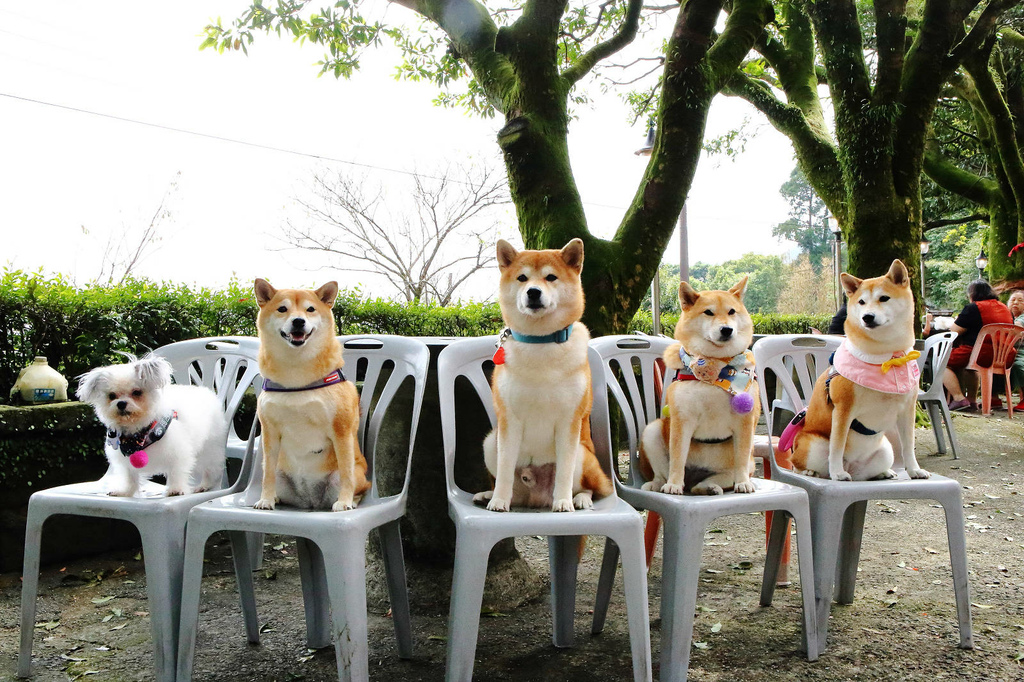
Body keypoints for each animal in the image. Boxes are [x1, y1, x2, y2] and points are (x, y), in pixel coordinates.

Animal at [77, 356, 228, 493]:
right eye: (112, 396)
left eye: (136, 392)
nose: (121, 403)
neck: (138, 435)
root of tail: (206, 391)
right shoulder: (126, 464)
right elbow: (130, 477)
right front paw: (125, 491)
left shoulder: (178, 453)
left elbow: (176, 472)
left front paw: (176, 489)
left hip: (209, 448)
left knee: (211, 468)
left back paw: (205, 485)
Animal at [252, 278, 372, 509]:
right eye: (282, 309)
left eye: (310, 309)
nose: (298, 321)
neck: (296, 377)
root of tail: (309, 502)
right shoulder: (269, 431)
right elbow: (267, 474)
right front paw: (266, 499)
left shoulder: (341, 430)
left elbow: (346, 473)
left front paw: (344, 501)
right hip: (280, 472)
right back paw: (276, 497)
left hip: (356, 474)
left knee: (358, 484)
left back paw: (351, 500)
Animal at [471, 238, 606, 509]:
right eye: (522, 278)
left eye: (551, 277)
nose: (533, 292)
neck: (540, 342)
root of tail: (537, 496)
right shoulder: (509, 421)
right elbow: (504, 470)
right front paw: (498, 501)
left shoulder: (568, 422)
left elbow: (564, 472)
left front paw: (563, 502)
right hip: (491, 442)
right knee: (514, 489)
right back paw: (490, 495)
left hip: (582, 454)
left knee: (590, 488)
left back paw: (579, 499)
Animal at [638, 278, 761, 493]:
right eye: (708, 312)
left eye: (732, 311)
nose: (726, 329)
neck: (716, 370)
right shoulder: (682, 420)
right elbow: (677, 458)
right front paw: (674, 484)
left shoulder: (745, 422)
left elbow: (742, 459)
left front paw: (744, 482)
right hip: (652, 431)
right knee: (664, 474)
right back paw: (660, 484)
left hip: (737, 467)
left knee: (707, 483)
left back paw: (709, 487)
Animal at [782, 259, 929, 477]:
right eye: (861, 302)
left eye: (884, 298)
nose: (867, 317)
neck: (887, 358)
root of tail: (852, 464)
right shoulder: (843, 409)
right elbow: (837, 445)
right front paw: (837, 473)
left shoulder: (907, 409)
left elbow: (908, 445)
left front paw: (914, 470)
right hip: (813, 445)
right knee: (797, 463)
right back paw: (812, 472)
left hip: (886, 451)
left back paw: (883, 473)